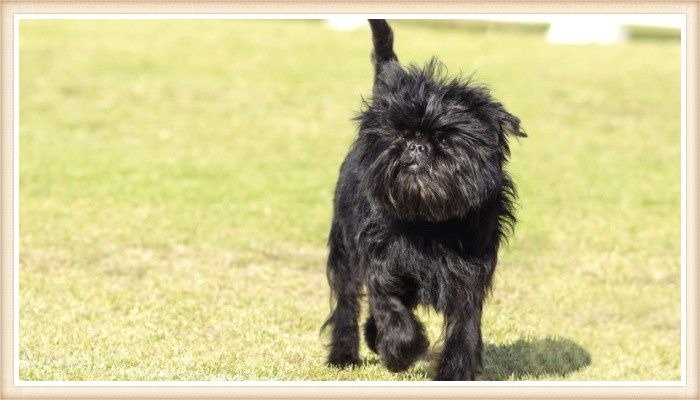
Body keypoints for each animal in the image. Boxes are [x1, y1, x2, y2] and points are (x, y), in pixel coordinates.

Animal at [324, 19, 524, 382]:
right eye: (399, 134)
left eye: (445, 138)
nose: (416, 146)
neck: (429, 221)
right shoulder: (381, 264)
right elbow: (390, 309)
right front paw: (400, 351)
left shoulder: (469, 276)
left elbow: (463, 328)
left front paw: (454, 374)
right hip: (344, 247)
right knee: (346, 301)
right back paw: (344, 354)